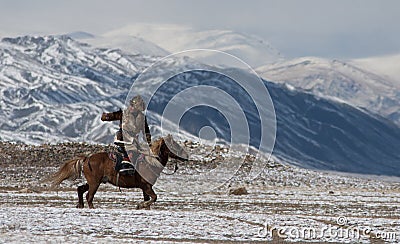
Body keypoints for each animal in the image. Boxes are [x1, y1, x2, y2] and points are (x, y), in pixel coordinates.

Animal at [49, 134, 188, 209]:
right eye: (173, 145)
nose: (185, 155)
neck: (150, 162)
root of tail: (87, 158)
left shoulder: (145, 188)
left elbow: (149, 199)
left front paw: (143, 206)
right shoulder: (146, 186)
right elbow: (154, 197)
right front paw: (140, 205)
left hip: (94, 181)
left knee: (80, 189)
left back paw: (80, 205)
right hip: (95, 183)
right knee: (89, 196)